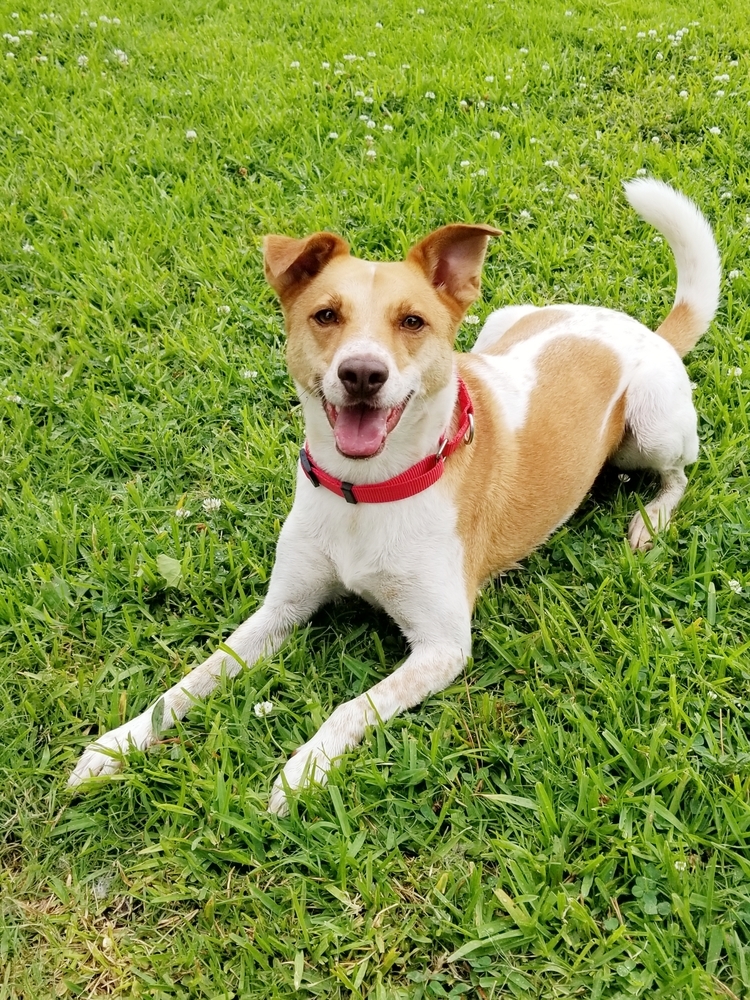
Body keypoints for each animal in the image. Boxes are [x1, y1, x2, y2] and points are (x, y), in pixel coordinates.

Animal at [69, 178, 724, 812]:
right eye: (326, 314)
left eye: (412, 322)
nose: (362, 373)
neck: (368, 491)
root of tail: (641, 328)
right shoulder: (280, 611)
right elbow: (192, 678)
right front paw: (115, 745)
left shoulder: (443, 646)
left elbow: (351, 707)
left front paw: (302, 770)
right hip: (501, 322)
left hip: (654, 425)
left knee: (680, 475)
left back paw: (649, 521)